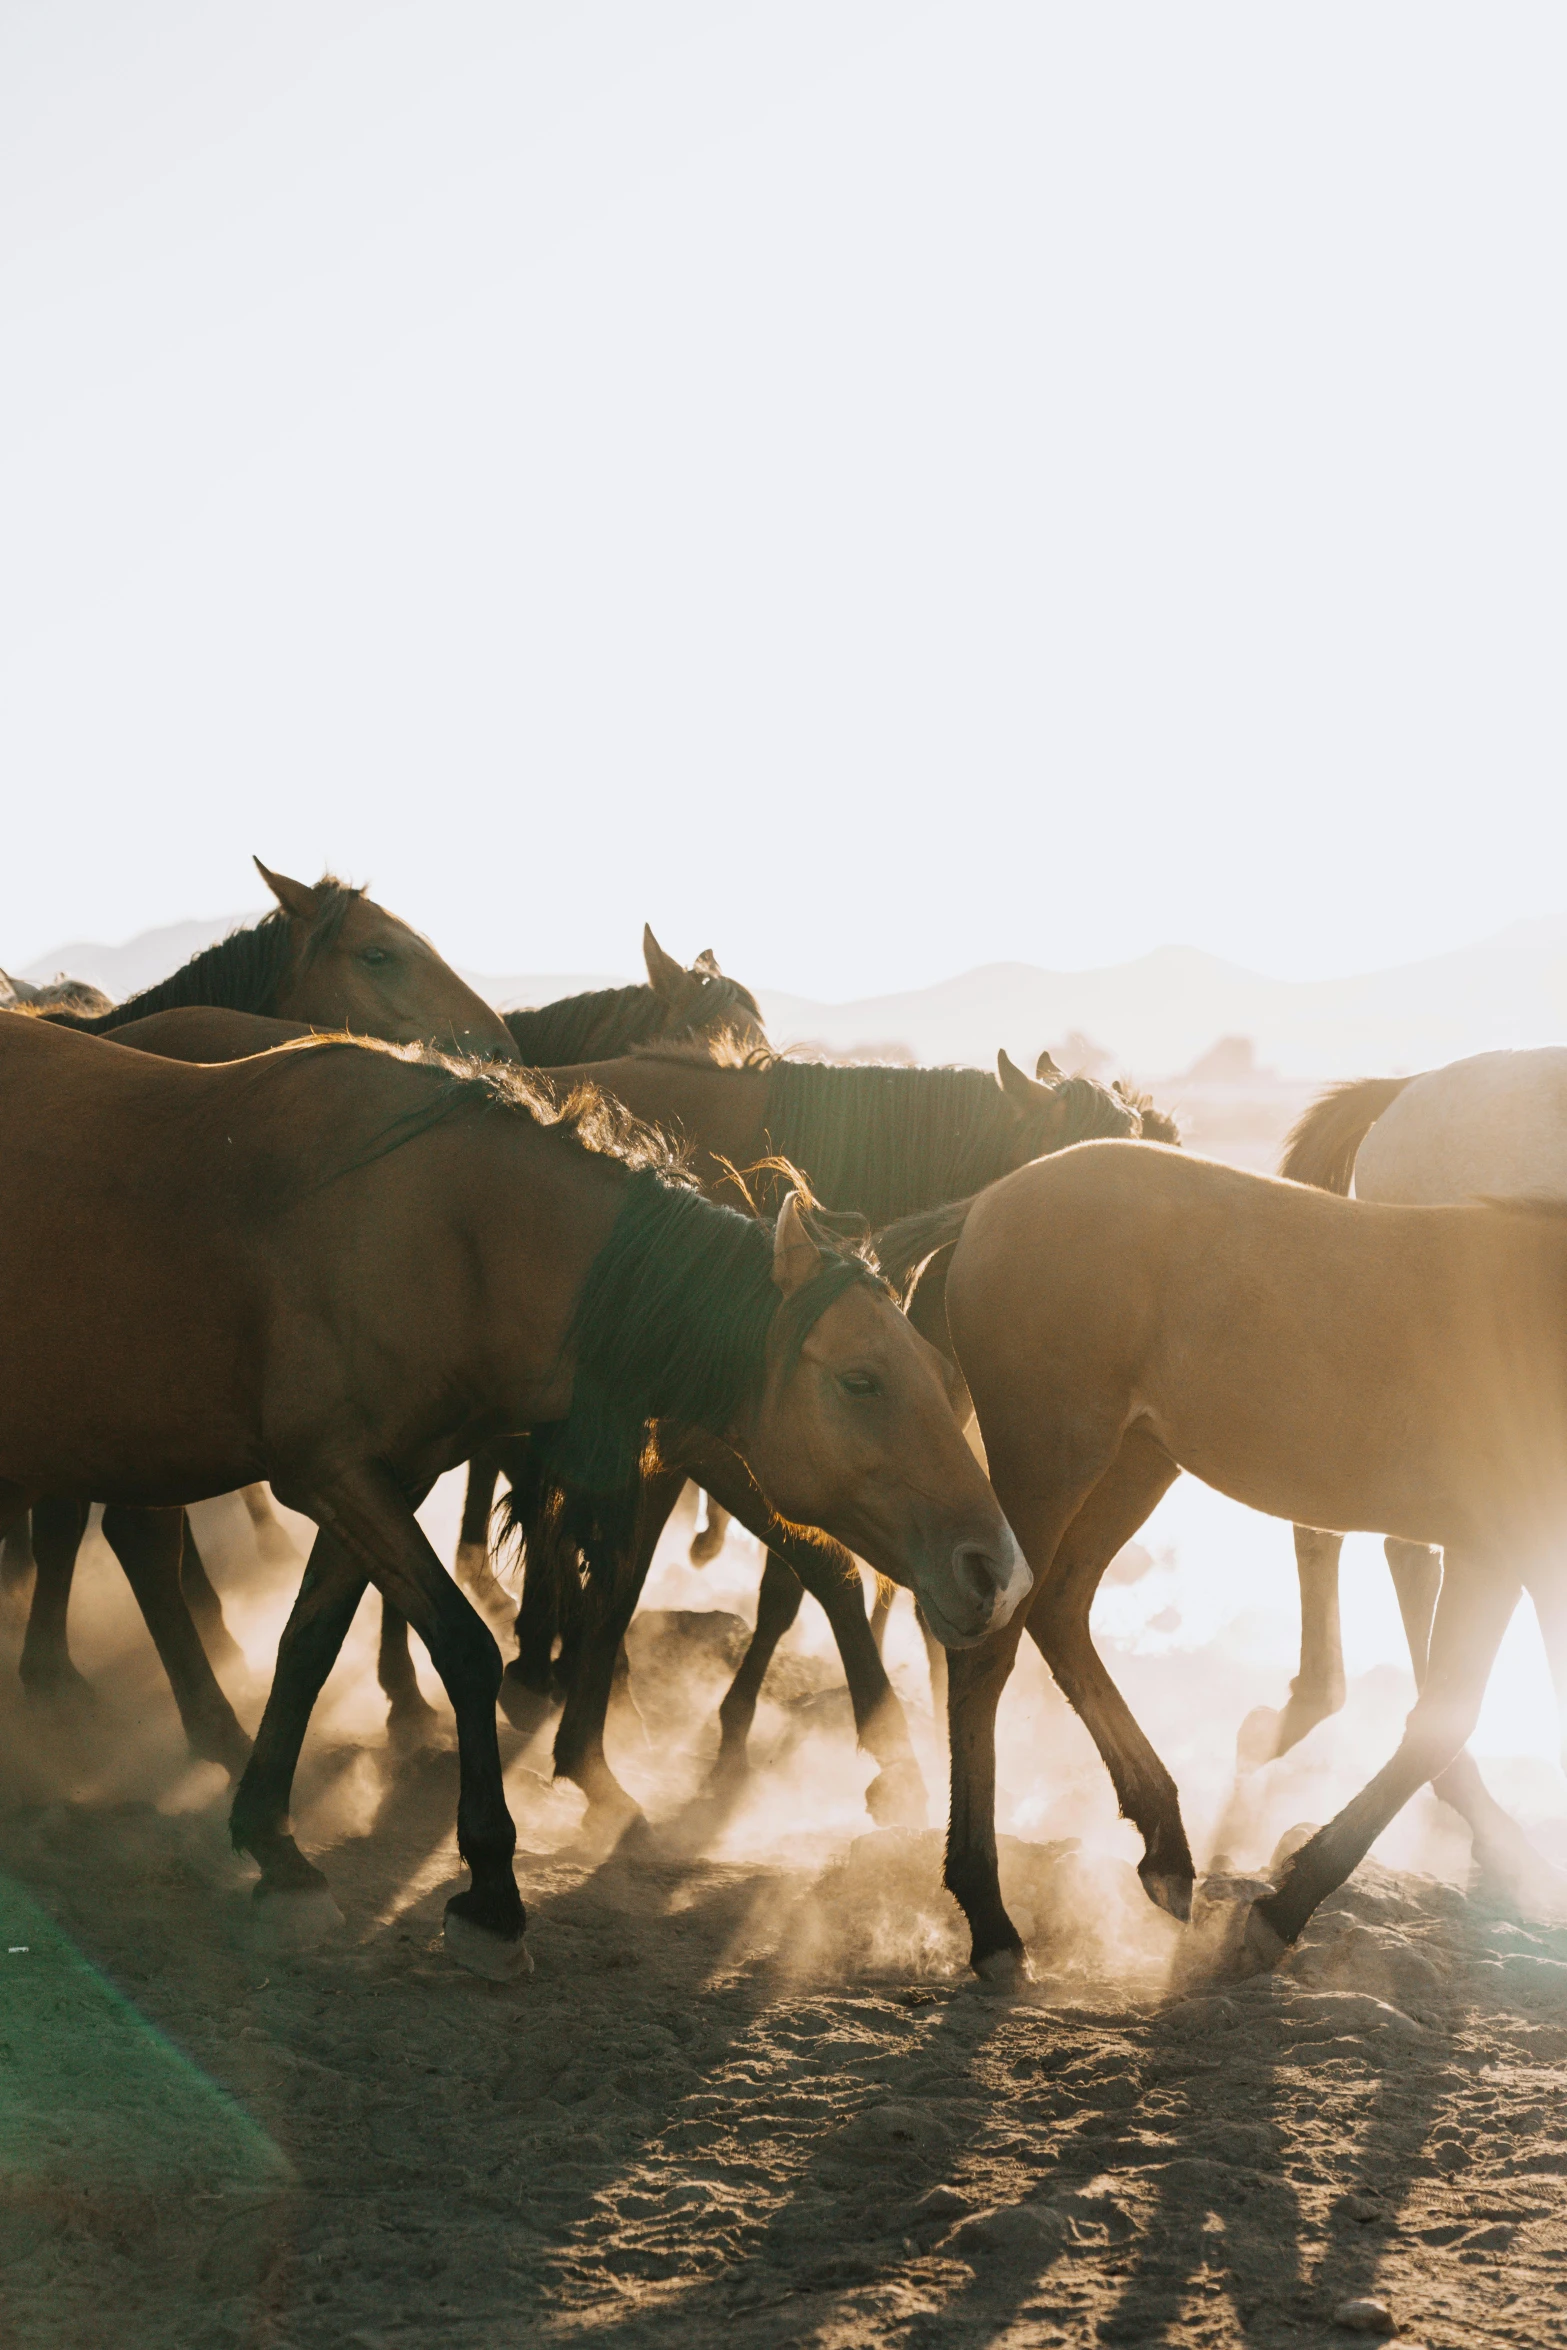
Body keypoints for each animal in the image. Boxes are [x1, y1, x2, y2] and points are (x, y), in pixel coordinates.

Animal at [0, 1019, 1019, 1973]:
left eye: (937, 1371)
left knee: (140, 1546)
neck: (448, 1231)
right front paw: (491, 1886)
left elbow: (308, 1646)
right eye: (860, 1381)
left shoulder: (384, 1473)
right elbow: (466, 1646)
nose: (996, 1569)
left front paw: (275, 1849)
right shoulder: (330, 1469)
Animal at [878, 1146, 1567, 1973]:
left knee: (1059, 1609)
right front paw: (1286, 1905)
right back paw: (990, 1916)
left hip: (1136, 1460)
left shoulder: (1492, 1557)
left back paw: (1165, 1849)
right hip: (1051, 1460)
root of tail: (991, 1199)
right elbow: (1447, 1722)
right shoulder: (1513, 1555)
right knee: (988, 1650)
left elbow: (1444, 1720)